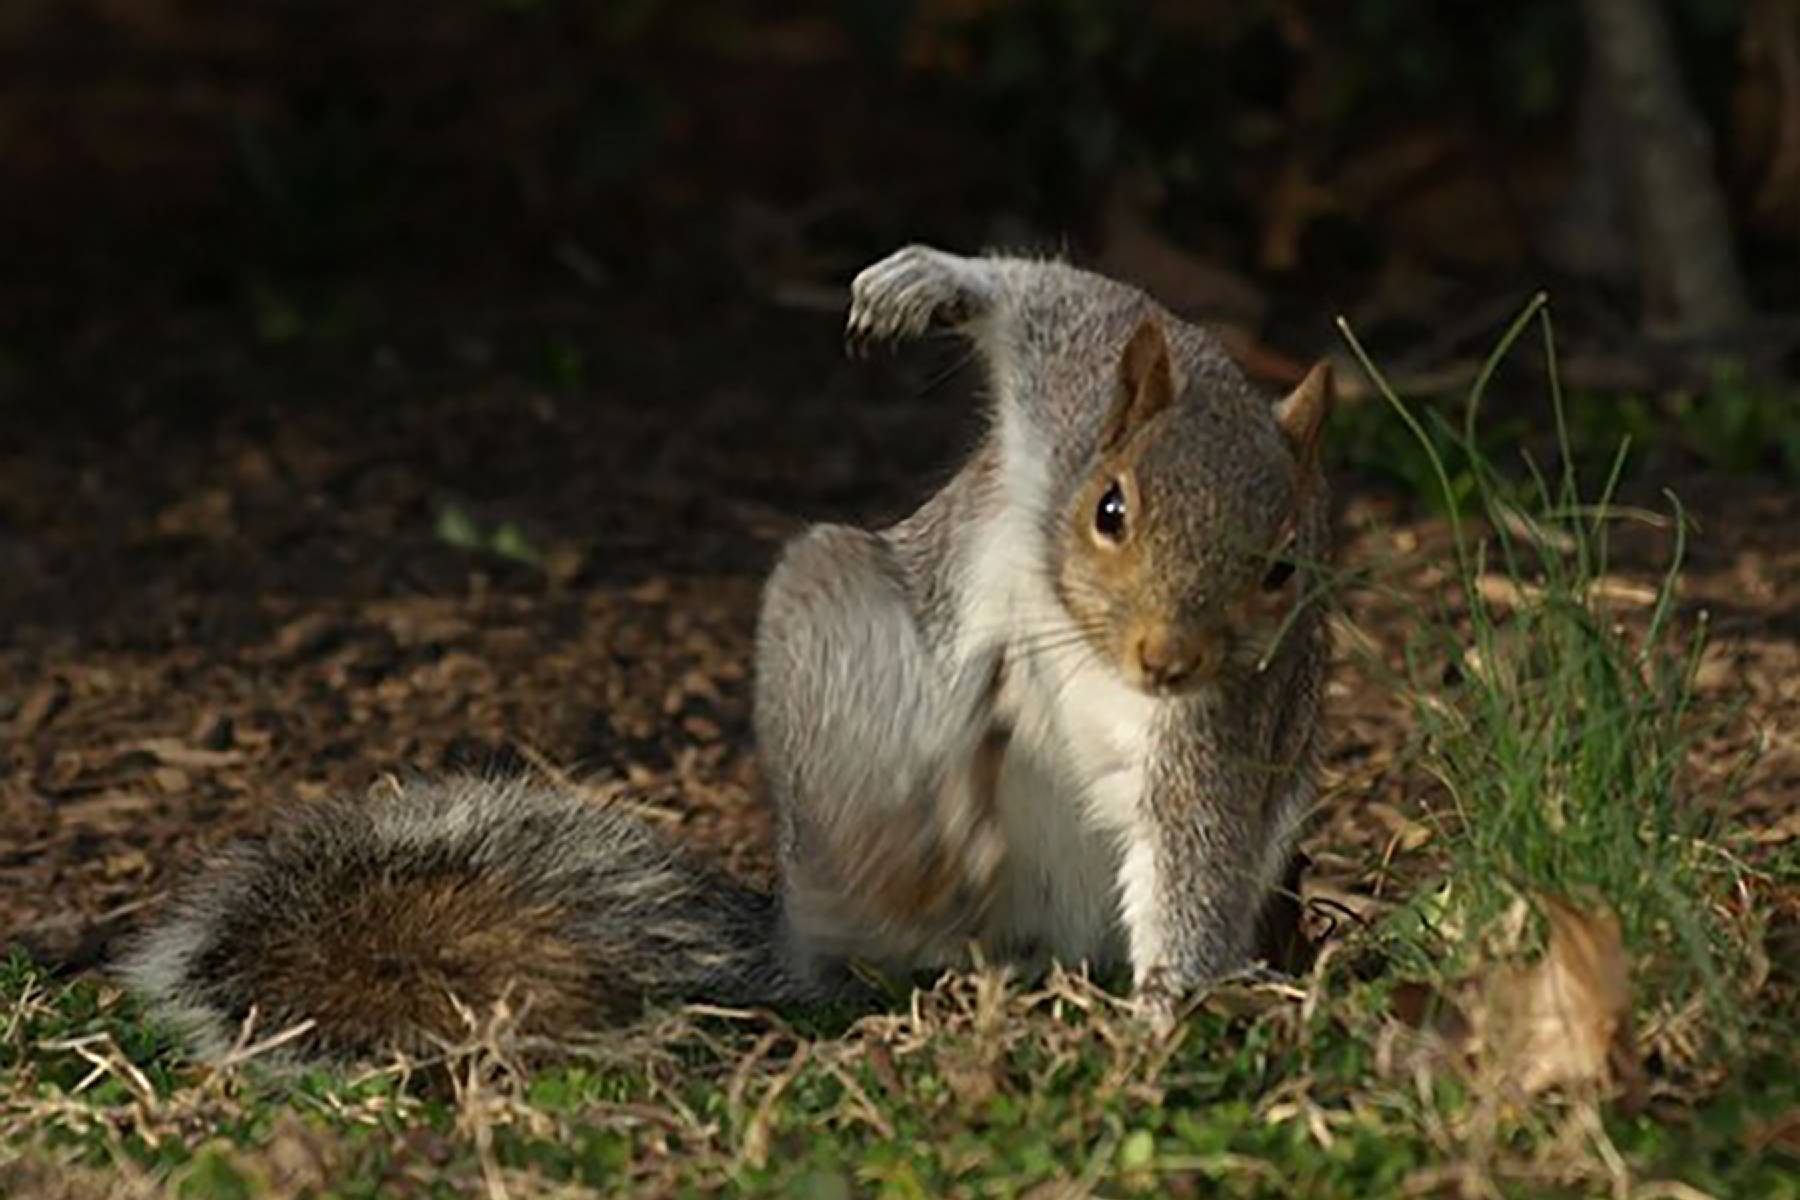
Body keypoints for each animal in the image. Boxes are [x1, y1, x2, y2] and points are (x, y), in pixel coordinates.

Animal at [119, 244, 1332, 1057]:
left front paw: (1168, 1012)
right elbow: (1051, 296)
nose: (1169, 658)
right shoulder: (1072, 386)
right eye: (1110, 509)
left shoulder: (1222, 727)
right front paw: (925, 283)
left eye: (1285, 566)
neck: (1083, 632)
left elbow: (1196, 852)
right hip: (827, 626)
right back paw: (921, 846)